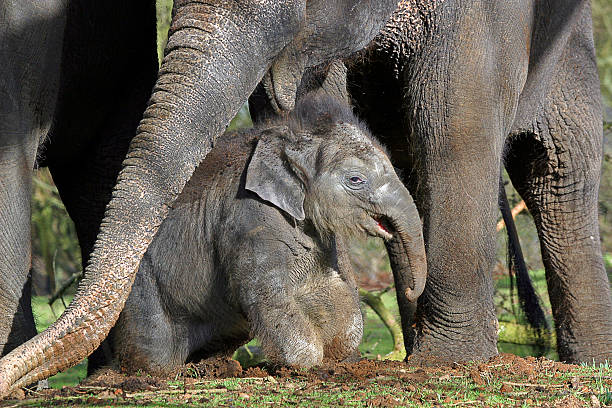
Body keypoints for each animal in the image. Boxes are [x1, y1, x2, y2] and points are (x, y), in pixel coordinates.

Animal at [113, 92, 426, 372]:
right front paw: (304, 365)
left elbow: (329, 290)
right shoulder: (249, 218)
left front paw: (337, 355)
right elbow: (267, 294)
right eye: (356, 179)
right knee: (155, 347)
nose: (409, 291)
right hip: (142, 287)